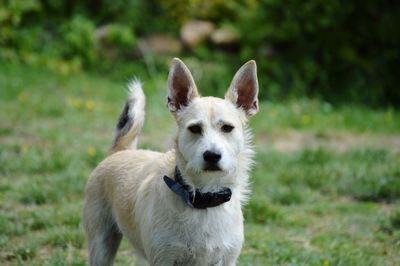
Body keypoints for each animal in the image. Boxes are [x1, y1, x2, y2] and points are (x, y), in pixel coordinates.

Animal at [84, 57, 260, 264]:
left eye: (227, 128)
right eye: (194, 128)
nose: (212, 155)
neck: (204, 198)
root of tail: (120, 151)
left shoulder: (227, 259)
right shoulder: (162, 258)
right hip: (101, 247)